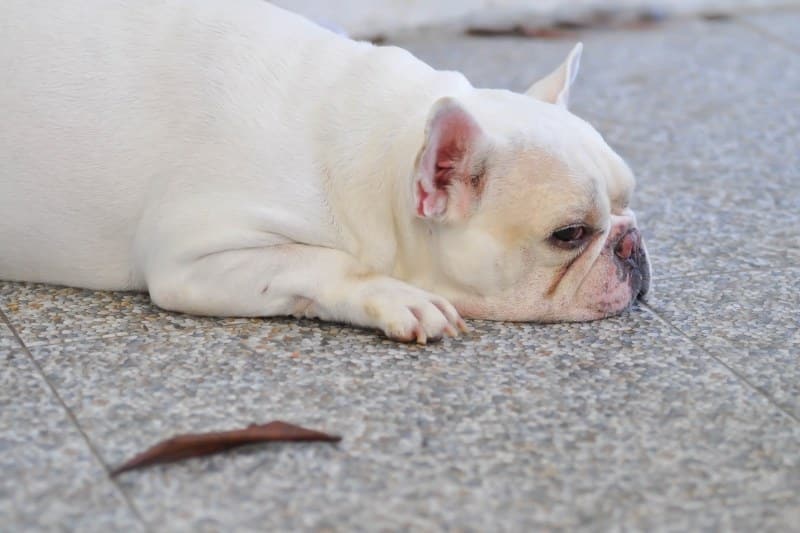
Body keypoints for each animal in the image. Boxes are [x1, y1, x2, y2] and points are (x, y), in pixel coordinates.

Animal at [1, 0, 648, 340]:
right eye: (568, 234)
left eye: (629, 200)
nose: (631, 244)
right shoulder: (191, 256)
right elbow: (322, 261)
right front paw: (397, 295)